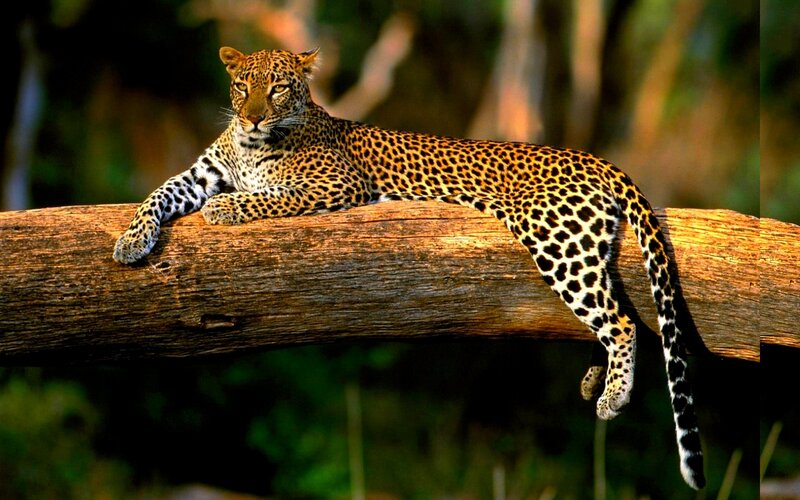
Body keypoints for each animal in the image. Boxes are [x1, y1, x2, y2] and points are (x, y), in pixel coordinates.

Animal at [113, 47, 705, 489]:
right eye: (243, 86)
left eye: (278, 88)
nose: (254, 114)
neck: (251, 143)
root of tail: (592, 157)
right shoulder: (199, 174)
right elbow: (158, 194)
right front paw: (129, 242)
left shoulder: (335, 184)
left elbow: (266, 198)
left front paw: (224, 208)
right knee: (610, 311)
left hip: (555, 239)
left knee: (621, 320)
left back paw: (612, 397)